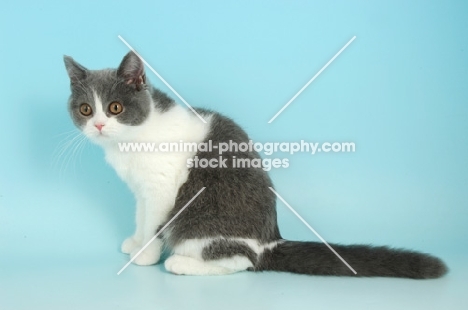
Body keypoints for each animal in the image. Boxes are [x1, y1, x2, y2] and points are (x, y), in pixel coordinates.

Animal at [63, 51, 446, 278]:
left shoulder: (162, 188)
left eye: (115, 108)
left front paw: (146, 254)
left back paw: (180, 262)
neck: (131, 140)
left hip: (201, 223)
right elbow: (141, 217)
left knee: (242, 261)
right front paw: (136, 241)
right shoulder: (141, 190)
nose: (99, 125)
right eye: (86, 109)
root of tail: (270, 241)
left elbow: (156, 222)